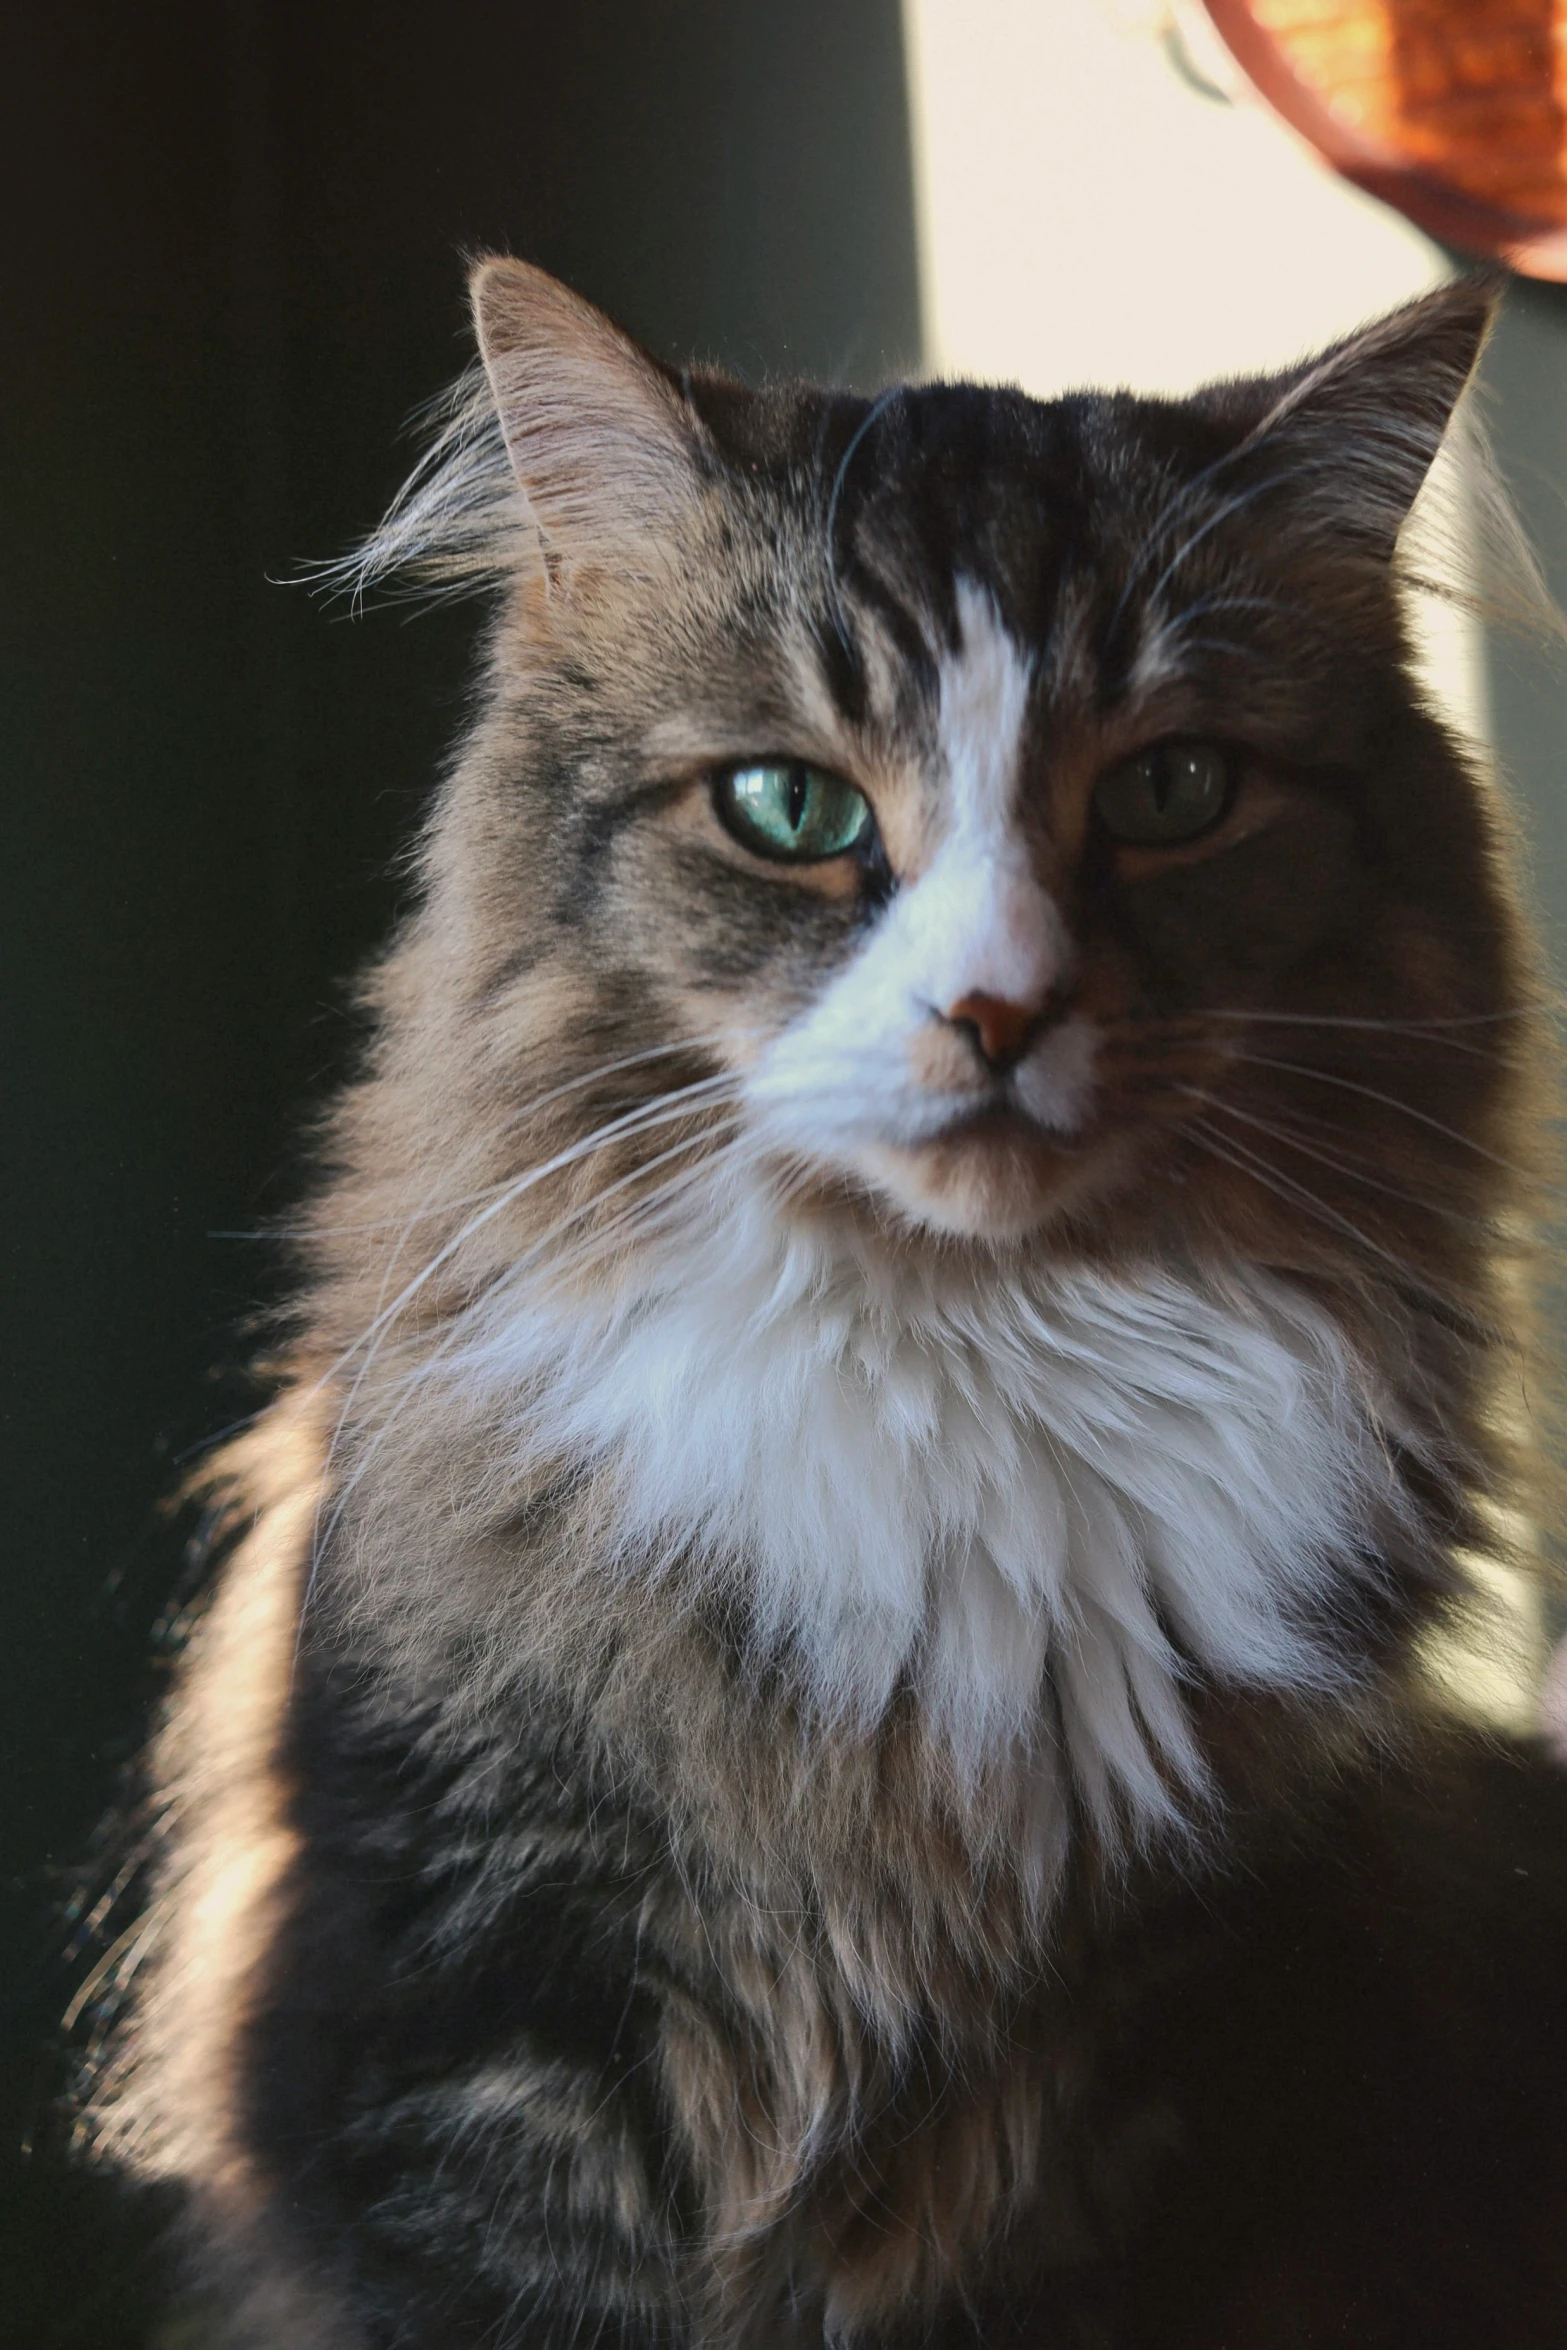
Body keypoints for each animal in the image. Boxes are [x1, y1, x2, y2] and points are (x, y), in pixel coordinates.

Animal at [88, 257, 1567, 2350]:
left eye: (1175, 789)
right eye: (788, 808)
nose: (999, 1009)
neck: (967, 1383)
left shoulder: (1154, 2114)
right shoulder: (468, 2066)